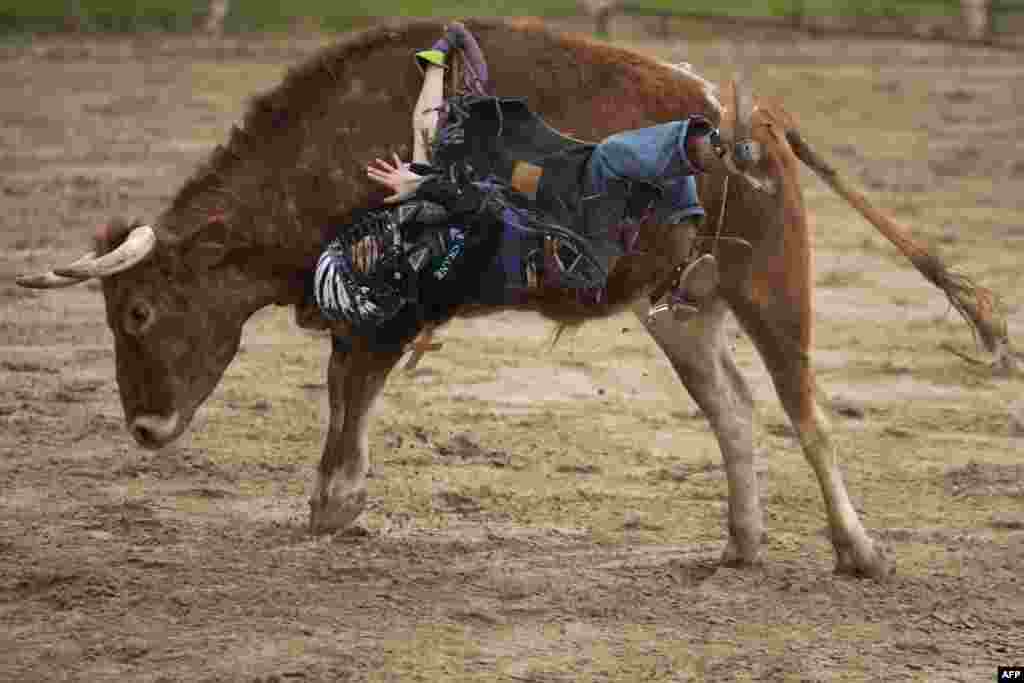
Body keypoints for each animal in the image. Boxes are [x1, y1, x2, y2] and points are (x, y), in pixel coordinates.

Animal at [18, 18, 1015, 581]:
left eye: (139, 313)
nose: (145, 428)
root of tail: (755, 120)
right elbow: (345, 387)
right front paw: (335, 501)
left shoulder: (392, 304)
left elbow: (351, 388)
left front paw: (335, 502)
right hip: (683, 309)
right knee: (734, 412)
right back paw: (741, 542)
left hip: (774, 283)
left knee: (806, 413)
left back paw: (860, 551)